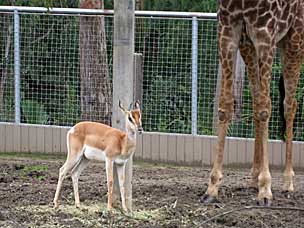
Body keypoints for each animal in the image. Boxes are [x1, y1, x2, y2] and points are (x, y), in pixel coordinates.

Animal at [202, 0, 304, 206]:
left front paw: (265, 190)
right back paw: (253, 179)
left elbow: (265, 108)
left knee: (289, 105)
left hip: (294, 39)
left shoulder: (266, 34)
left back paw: (287, 182)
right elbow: (226, 105)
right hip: (249, 46)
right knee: (258, 100)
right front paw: (212, 187)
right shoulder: (228, 31)